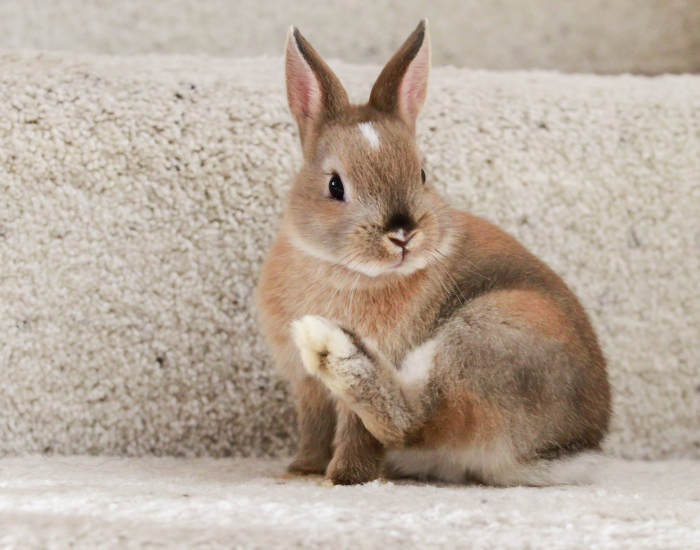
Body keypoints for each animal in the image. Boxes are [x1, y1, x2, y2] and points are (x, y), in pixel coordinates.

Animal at [256, 20, 611, 486]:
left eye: (422, 174)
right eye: (335, 186)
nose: (402, 235)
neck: (341, 268)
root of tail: (560, 449)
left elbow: (358, 433)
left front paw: (345, 478)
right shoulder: (307, 391)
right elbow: (315, 428)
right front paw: (303, 469)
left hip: (484, 336)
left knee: (413, 420)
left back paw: (328, 344)